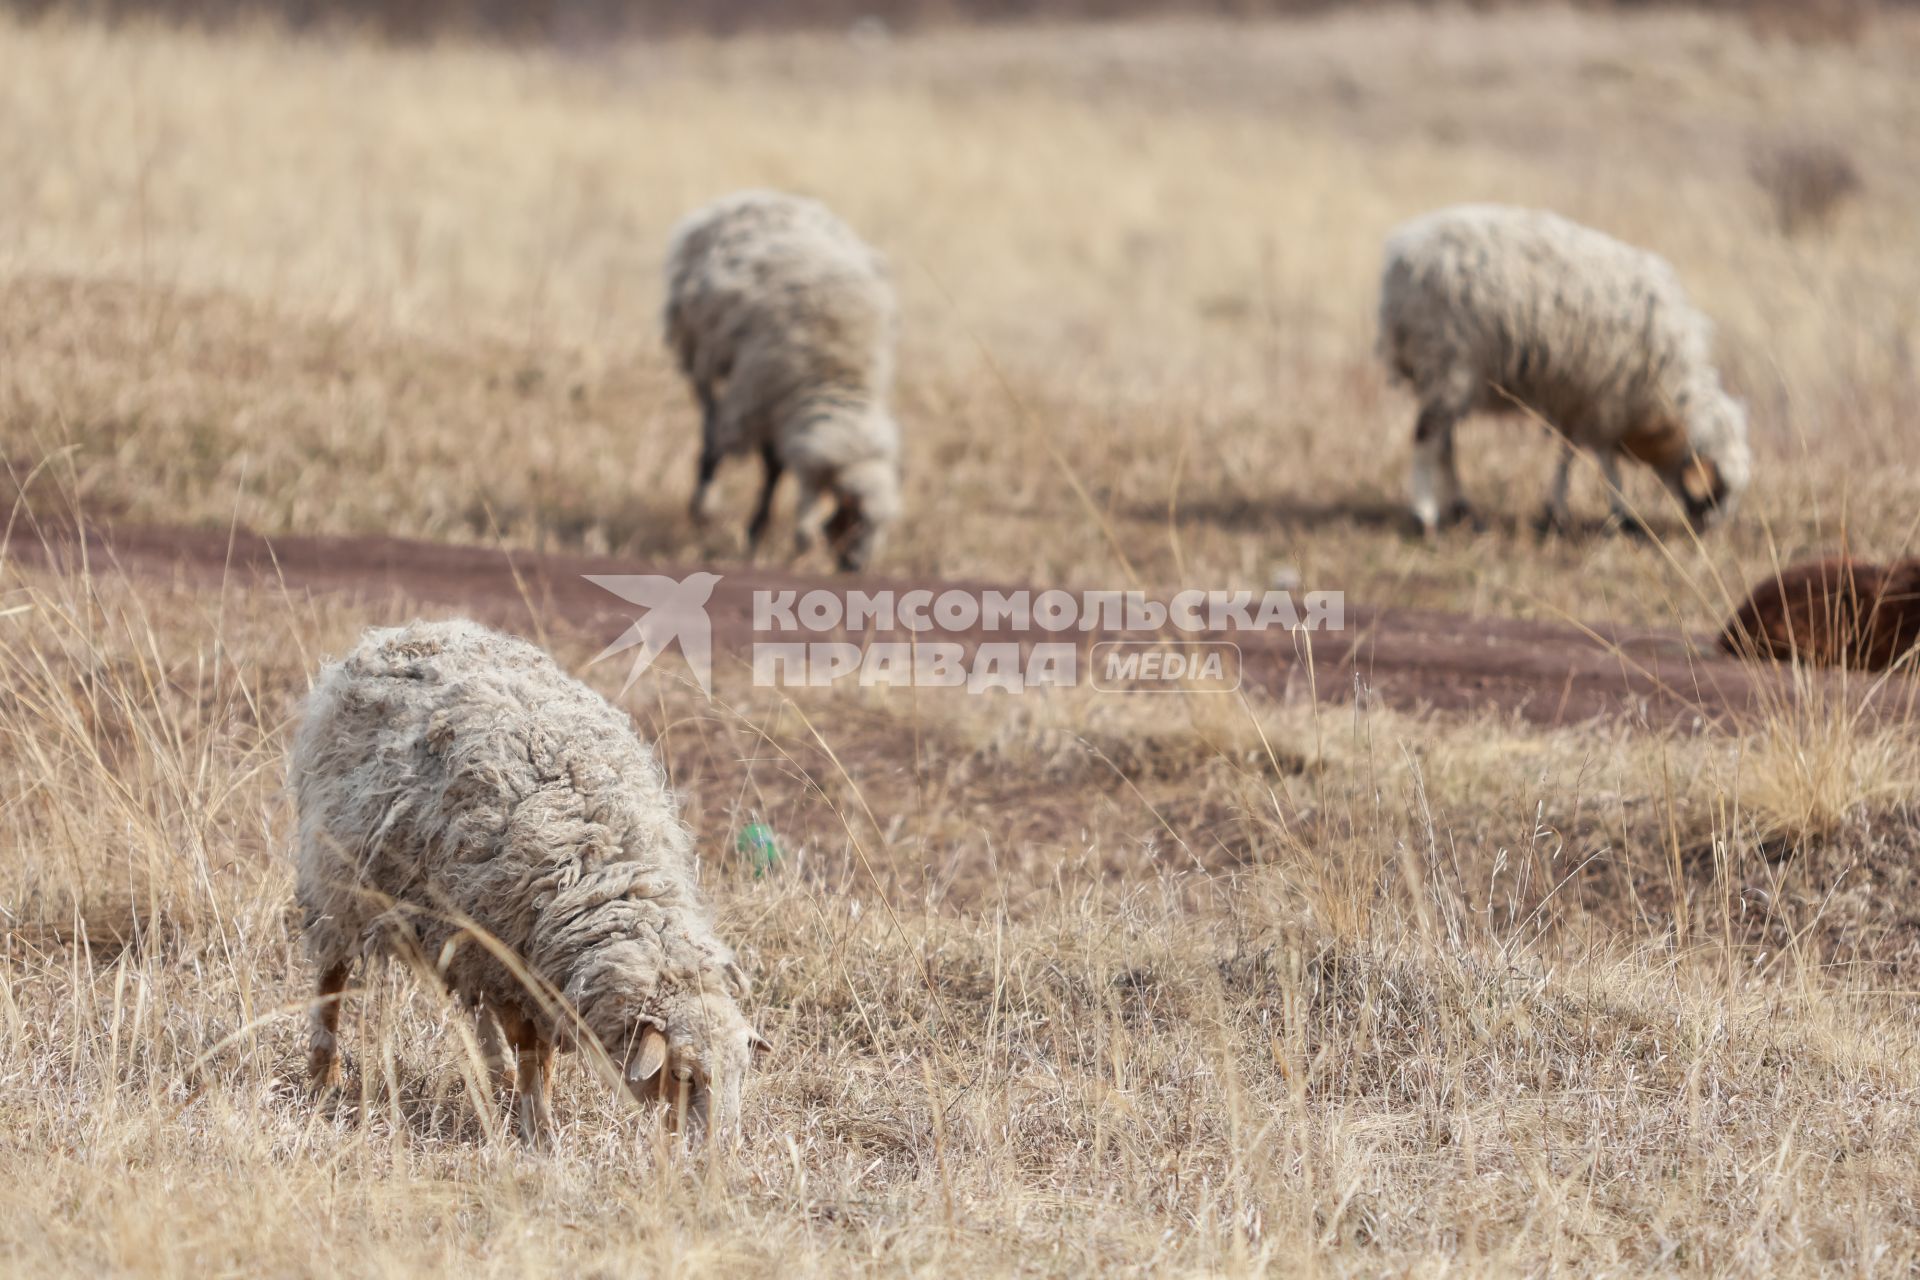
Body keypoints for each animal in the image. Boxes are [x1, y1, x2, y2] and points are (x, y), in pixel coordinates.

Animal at [289, 617, 764, 1143]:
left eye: (741, 1071)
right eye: (683, 1075)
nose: (718, 1148)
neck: (607, 877)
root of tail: (399, 634)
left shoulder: (520, 961)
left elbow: (537, 1049)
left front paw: (527, 1106)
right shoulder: (511, 963)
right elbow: (533, 1049)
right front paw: (539, 1128)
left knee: (472, 1003)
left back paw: (495, 1079)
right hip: (339, 877)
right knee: (332, 975)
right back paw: (324, 1073)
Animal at [664, 188, 902, 571]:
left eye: (885, 524)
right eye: (855, 515)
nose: (856, 567)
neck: (837, 375)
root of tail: (757, 195)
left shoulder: (779, 407)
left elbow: (777, 471)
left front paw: (758, 531)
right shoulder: (761, 397)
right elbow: (771, 467)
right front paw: (753, 530)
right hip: (700, 353)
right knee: (711, 426)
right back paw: (703, 499)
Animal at [1382, 204, 1758, 541]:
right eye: (1719, 489)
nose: (1714, 532)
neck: (1668, 384)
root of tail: (1401, 255)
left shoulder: (1577, 398)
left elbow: (1568, 453)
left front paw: (1556, 512)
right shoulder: (1606, 398)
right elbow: (1605, 459)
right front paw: (1623, 516)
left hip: (1454, 376)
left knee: (1445, 441)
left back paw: (1463, 509)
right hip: (1448, 362)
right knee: (1426, 436)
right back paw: (1425, 515)